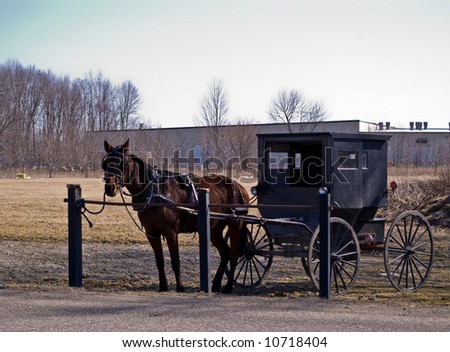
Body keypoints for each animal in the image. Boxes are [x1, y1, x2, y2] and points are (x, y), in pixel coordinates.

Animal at [101, 139, 250, 292]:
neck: (155, 191)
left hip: (235, 224)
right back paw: (216, 284)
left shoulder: (170, 231)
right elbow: (159, 260)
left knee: (234, 254)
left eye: (122, 163)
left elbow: (175, 260)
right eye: (105, 163)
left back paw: (228, 286)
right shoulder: (151, 233)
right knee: (225, 252)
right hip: (214, 229)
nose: (110, 188)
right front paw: (163, 286)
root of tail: (239, 187)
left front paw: (180, 286)